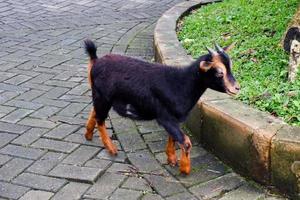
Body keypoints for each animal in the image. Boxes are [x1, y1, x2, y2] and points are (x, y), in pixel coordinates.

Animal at [84, 38, 239, 173]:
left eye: (231, 67)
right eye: (219, 72)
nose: (236, 88)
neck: (180, 84)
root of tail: (96, 61)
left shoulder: (174, 119)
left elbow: (173, 137)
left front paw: (172, 159)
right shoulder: (165, 117)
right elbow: (186, 141)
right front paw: (184, 169)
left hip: (101, 97)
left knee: (94, 112)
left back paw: (88, 135)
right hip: (103, 97)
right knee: (100, 119)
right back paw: (111, 148)